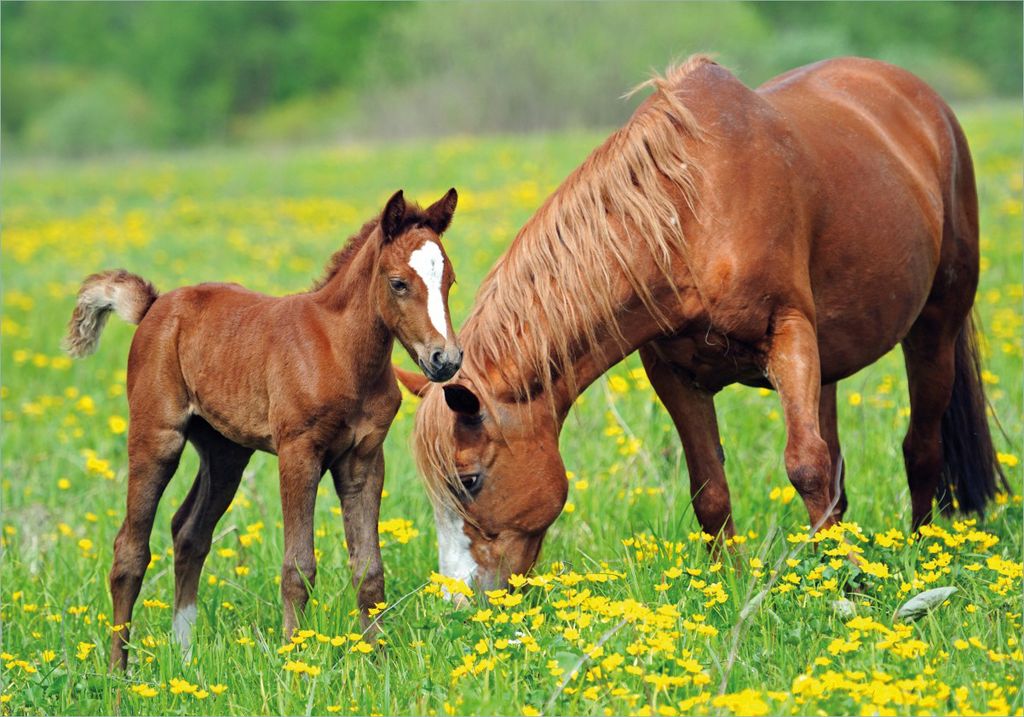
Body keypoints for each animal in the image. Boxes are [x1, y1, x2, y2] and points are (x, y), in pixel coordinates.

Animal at [64, 189, 463, 670]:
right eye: (399, 283)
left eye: (450, 281)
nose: (446, 359)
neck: (340, 351)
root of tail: (155, 305)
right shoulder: (298, 453)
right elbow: (298, 566)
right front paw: (294, 657)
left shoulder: (364, 459)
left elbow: (369, 568)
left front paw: (379, 660)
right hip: (156, 436)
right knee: (130, 549)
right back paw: (117, 672)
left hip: (225, 453)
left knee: (190, 532)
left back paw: (184, 655)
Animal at [399, 56, 1008, 592]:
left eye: (469, 480)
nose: (459, 598)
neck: (693, 214)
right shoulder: (674, 373)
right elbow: (710, 489)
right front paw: (729, 584)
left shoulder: (788, 334)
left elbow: (805, 465)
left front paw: (847, 583)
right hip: (831, 361)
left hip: (934, 327)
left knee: (920, 447)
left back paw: (922, 552)